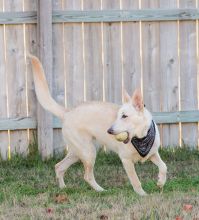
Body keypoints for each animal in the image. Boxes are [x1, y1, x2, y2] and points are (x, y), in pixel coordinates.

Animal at [29, 55, 166, 196]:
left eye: (124, 116)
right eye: (117, 116)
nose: (109, 131)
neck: (141, 138)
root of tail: (67, 113)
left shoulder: (153, 153)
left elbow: (164, 166)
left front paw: (161, 182)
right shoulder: (126, 160)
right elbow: (136, 181)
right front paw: (142, 194)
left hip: (77, 152)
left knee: (59, 167)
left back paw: (63, 188)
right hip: (89, 152)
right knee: (86, 176)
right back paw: (101, 190)